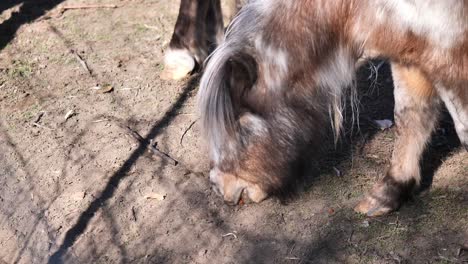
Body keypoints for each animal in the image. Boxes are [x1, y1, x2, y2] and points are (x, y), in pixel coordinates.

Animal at [198, 0, 468, 217]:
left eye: (240, 121)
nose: (219, 186)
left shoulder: (449, 55)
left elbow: (462, 126)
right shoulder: (412, 56)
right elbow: (409, 117)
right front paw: (388, 194)